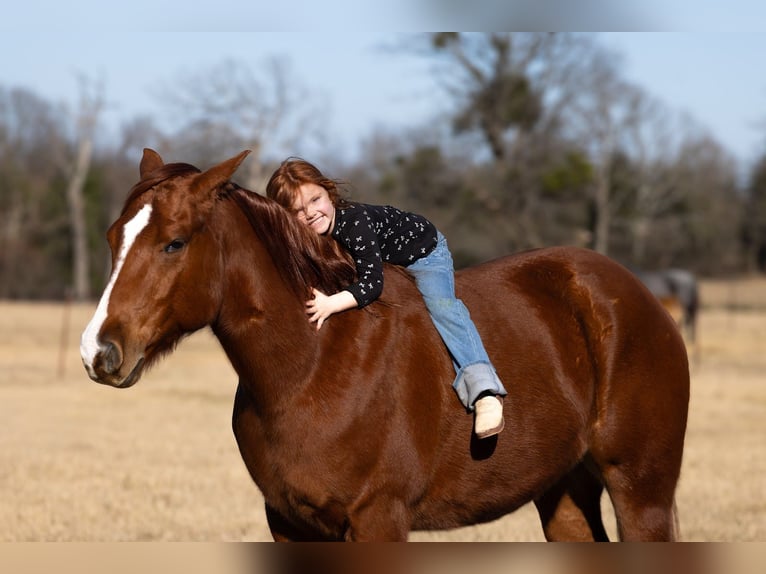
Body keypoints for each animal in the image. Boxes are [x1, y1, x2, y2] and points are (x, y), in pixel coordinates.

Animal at [80, 149, 690, 541]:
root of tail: (641, 296)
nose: (98, 352)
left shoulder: (378, 518)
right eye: (111, 237)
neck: (312, 367)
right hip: (564, 490)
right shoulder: (290, 524)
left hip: (641, 492)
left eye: (174, 243)